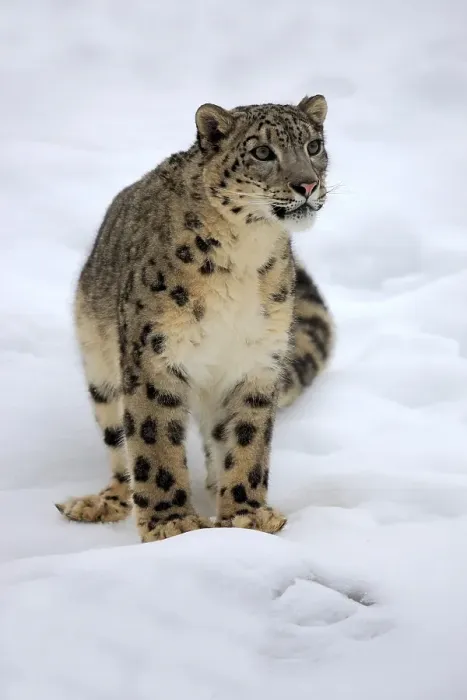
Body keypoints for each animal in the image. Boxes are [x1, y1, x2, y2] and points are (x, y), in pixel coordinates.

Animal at [56, 94, 334, 542]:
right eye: (262, 152)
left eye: (313, 146)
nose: (307, 185)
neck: (245, 256)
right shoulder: (155, 356)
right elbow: (153, 443)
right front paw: (172, 523)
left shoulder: (258, 361)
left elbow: (247, 440)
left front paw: (246, 515)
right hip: (100, 368)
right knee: (119, 447)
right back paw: (101, 503)